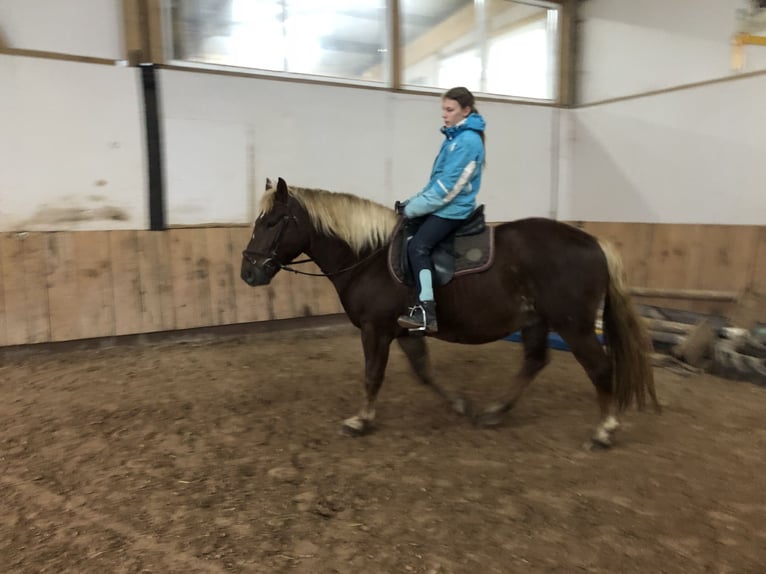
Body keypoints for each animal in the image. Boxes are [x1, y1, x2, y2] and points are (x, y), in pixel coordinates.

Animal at [240, 177, 660, 448]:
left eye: (272, 222)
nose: (248, 272)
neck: (368, 256)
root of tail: (594, 242)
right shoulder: (404, 331)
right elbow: (424, 372)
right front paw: (459, 404)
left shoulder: (375, 329)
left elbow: (372, 375)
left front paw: (360, 420)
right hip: (537, 321)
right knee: (534, 361)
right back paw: (496, 411)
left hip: (574, 325)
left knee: (600, 368)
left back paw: (604, 431)